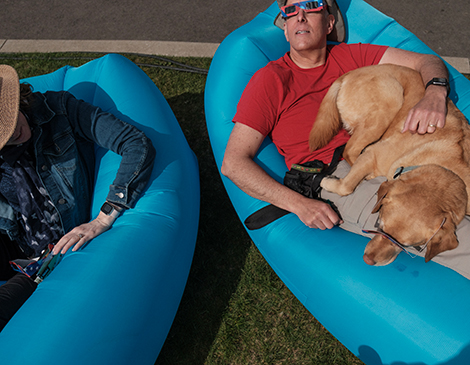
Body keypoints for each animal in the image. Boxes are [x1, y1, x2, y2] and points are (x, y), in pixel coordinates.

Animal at [308, 64, 470, 264]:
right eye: (380, 225)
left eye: (405, 245)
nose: (368, 260)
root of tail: (351, 73)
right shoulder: (374, 154)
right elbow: (346, 186)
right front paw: (325, 180)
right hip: (390, 100)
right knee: (350, 149)